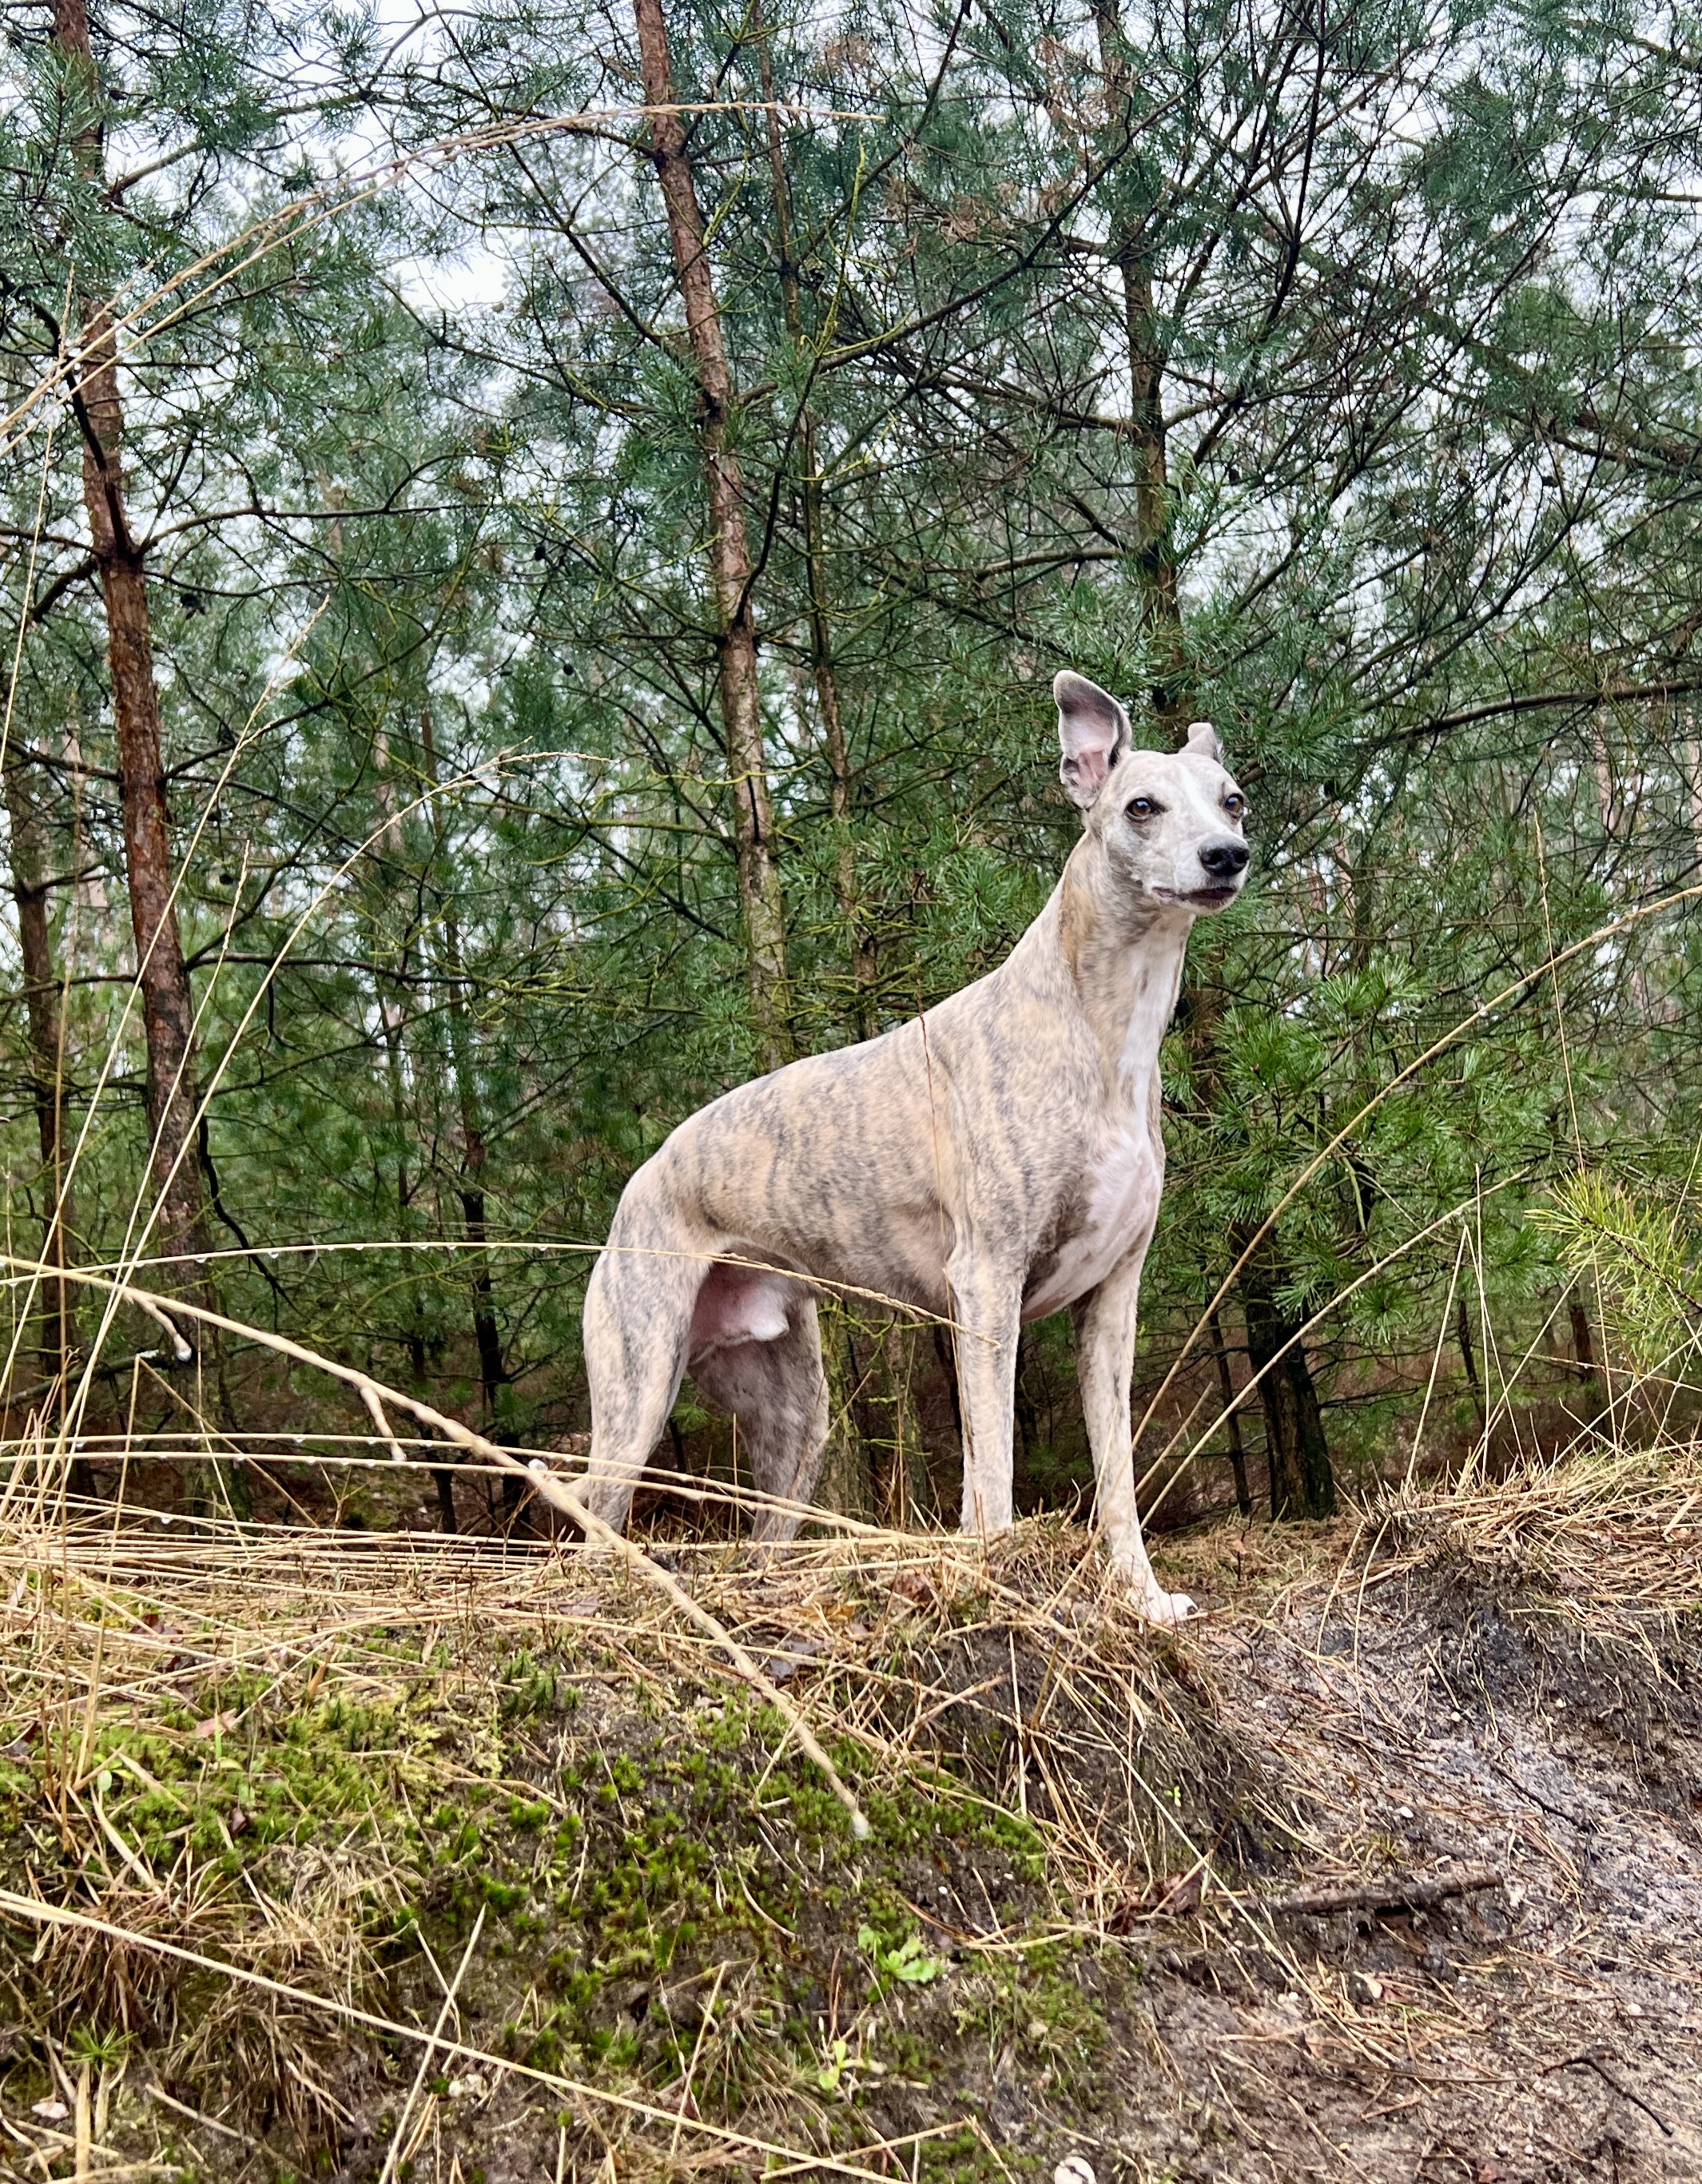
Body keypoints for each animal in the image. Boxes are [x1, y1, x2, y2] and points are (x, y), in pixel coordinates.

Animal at [585, 677, 1250, 1625]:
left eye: (1232, 799)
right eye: (1141, 806)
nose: (1227, 857)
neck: (1095, 1027)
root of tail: (638, 1180)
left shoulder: (1112, 1303)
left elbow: (1116, 1475)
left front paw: (1143, 1597)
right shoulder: (987, 1287)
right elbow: (993, 1473)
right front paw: (1003, 1583)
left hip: (797, 1418)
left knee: (765, 1531)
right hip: (638, 1389)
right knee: (593, 1513)